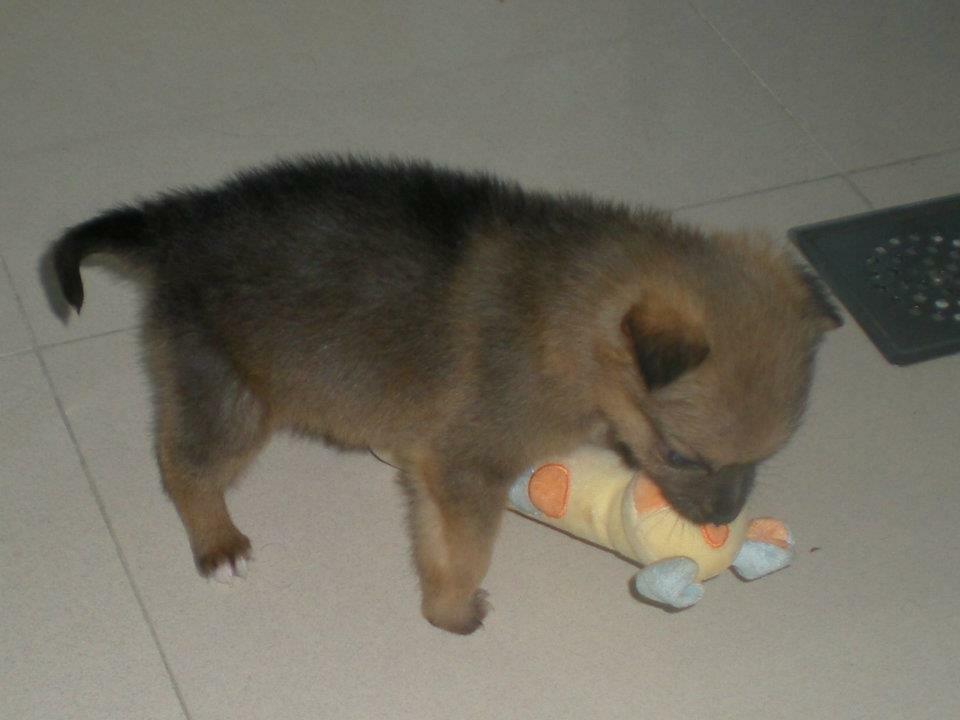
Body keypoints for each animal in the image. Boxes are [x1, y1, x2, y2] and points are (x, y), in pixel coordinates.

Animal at [49, 155, 840, 634]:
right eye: (680, 455)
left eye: (768, 455)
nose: (724, 523)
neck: (574, 317)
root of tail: (179, 224)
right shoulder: (468, 466)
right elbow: (467, 550)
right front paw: (453, 611)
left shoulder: (437, 464)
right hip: (232, 394)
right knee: (183, 467)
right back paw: (218, 544)